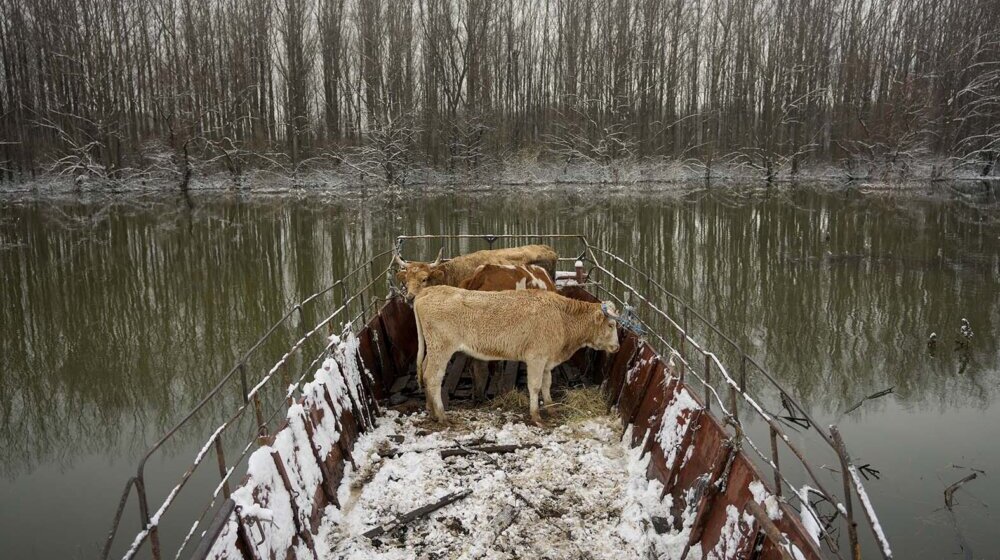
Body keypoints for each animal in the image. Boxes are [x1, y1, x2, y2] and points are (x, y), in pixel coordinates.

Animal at [412, 284, 616, 424]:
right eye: (611, 325)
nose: (617, 346)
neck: (561, 318)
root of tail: (429, 290)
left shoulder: (547, 360)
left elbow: (547, 384)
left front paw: (551, 409)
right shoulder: (536, 358)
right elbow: (534, 386)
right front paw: (536, 416)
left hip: (433, 349)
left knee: (425, 371)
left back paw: (431, 411)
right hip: (441, 349)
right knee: (433, 377)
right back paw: (442, 415)